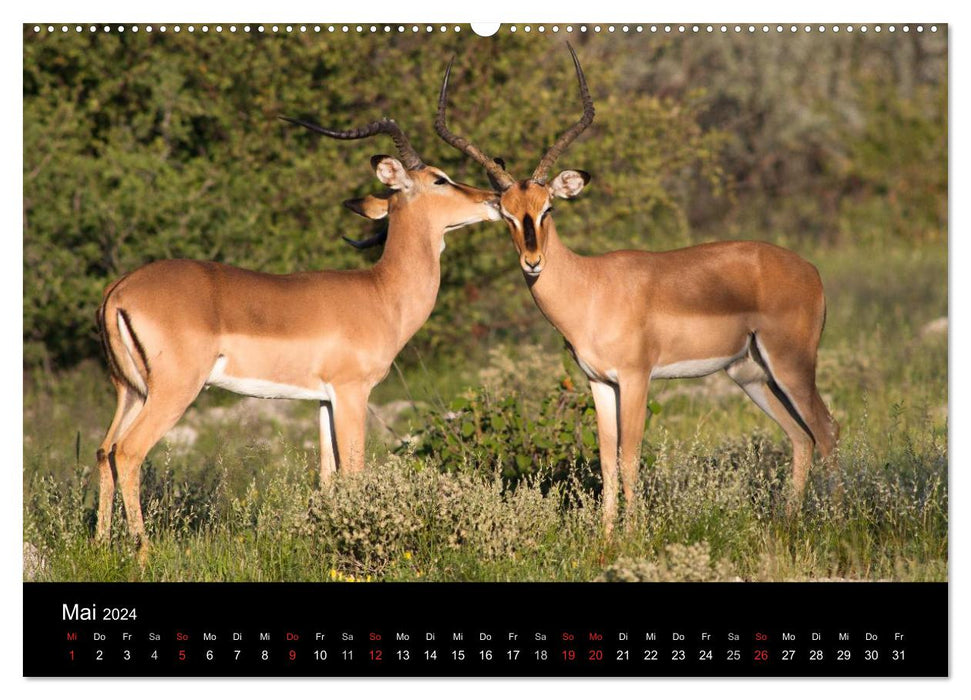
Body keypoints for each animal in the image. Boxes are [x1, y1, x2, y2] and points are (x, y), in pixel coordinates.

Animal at [97, 116, 502, 552]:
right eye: (440, 179)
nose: (494, 199)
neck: (382, 293)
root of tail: (119, 289)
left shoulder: (323, 400)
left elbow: (327, 477)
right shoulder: (353, 392)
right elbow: (354, 471)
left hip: (132, 391)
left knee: (104, 450)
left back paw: (99, 545)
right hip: (173, 391)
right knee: (128, 452)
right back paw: (142, 551)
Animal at [436, 46, 840, 532]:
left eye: (548, 208)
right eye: (509, 216)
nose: (532, 262)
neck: (590, 287)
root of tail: (811, 270)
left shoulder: (635, 378)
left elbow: (629, 459)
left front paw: (634, 536)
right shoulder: (599, 382)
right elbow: (607, 461)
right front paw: (607, 537)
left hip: (791, 365)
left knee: (827, 431)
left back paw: (843, 518)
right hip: (750, 374)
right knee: (801, 437)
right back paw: (789, 520)